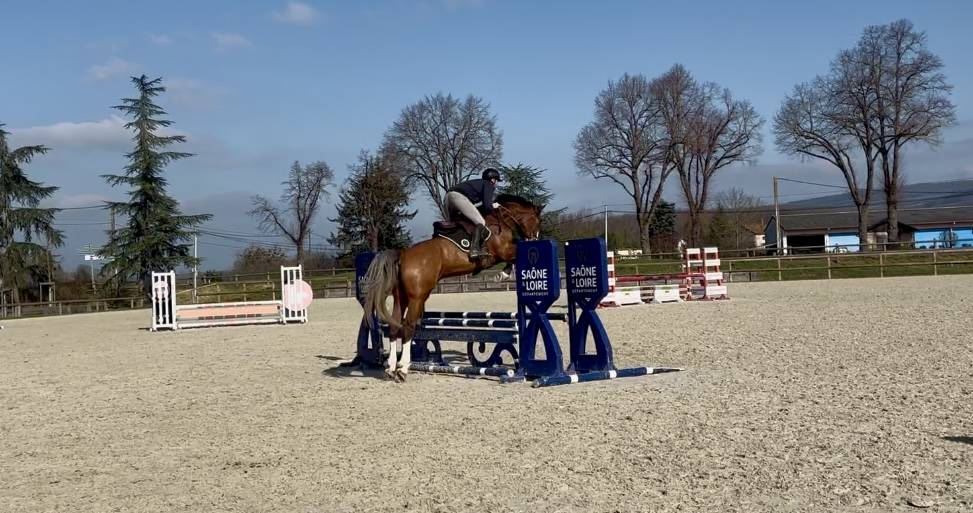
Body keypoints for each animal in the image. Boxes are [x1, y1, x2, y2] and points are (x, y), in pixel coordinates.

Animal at [361, 194, 544, 381]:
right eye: (538, 221)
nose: (534, 240)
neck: (501, 220)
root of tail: (403, 254)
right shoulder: (503, 251)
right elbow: (512, 257)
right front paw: (504, 274)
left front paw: (503, 274)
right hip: (417, 297)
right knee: (407, 327)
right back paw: (403, 369)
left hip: (401, 298)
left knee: (394, 327)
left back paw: (391, 368)